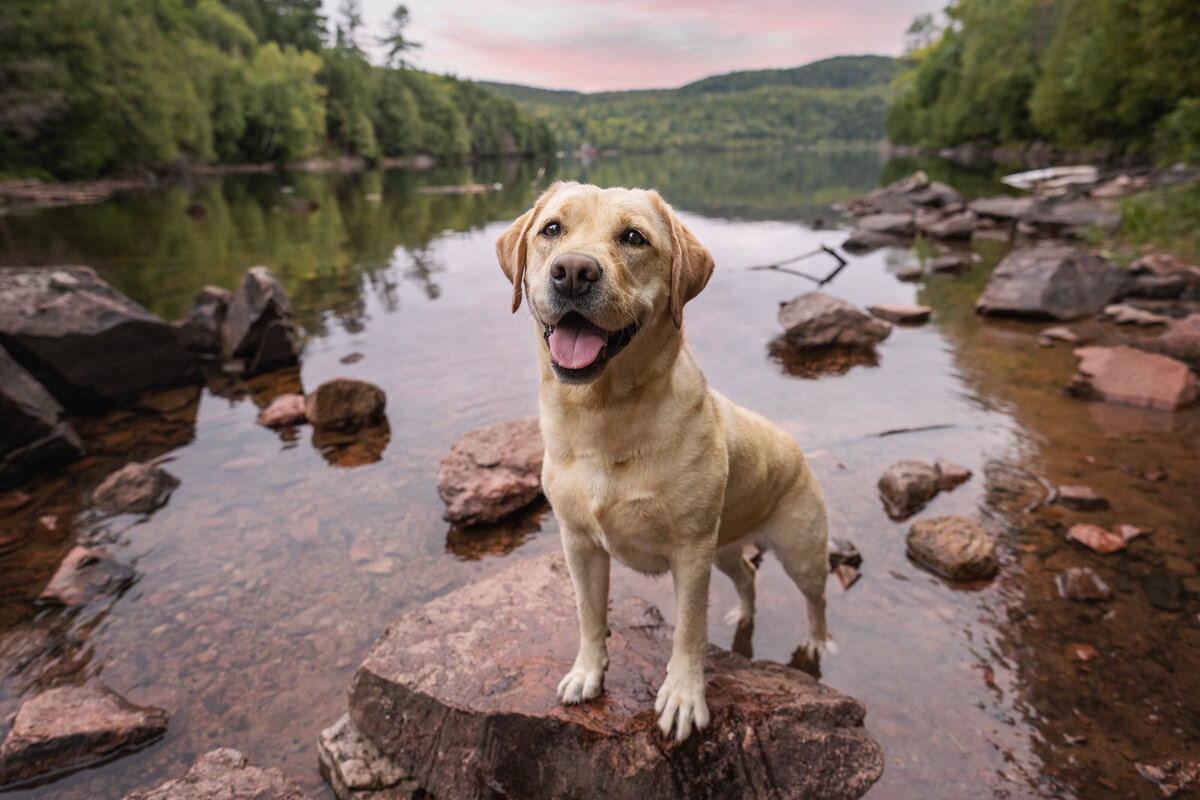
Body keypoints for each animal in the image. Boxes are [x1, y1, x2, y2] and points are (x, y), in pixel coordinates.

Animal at [492, 181, 830, 743]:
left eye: (634, 238)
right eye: (552, 229)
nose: (573, 271)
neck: (603, 417)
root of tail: (797, 447)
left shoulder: (690, 553)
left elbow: (688, 631)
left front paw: (684, 697)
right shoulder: (579, 544)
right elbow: (589, 615)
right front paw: (587, 673)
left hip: (800, 551)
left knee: (816, 601)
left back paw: (818, 643)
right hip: (726, 546)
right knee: (747, 576)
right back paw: (743, 614)